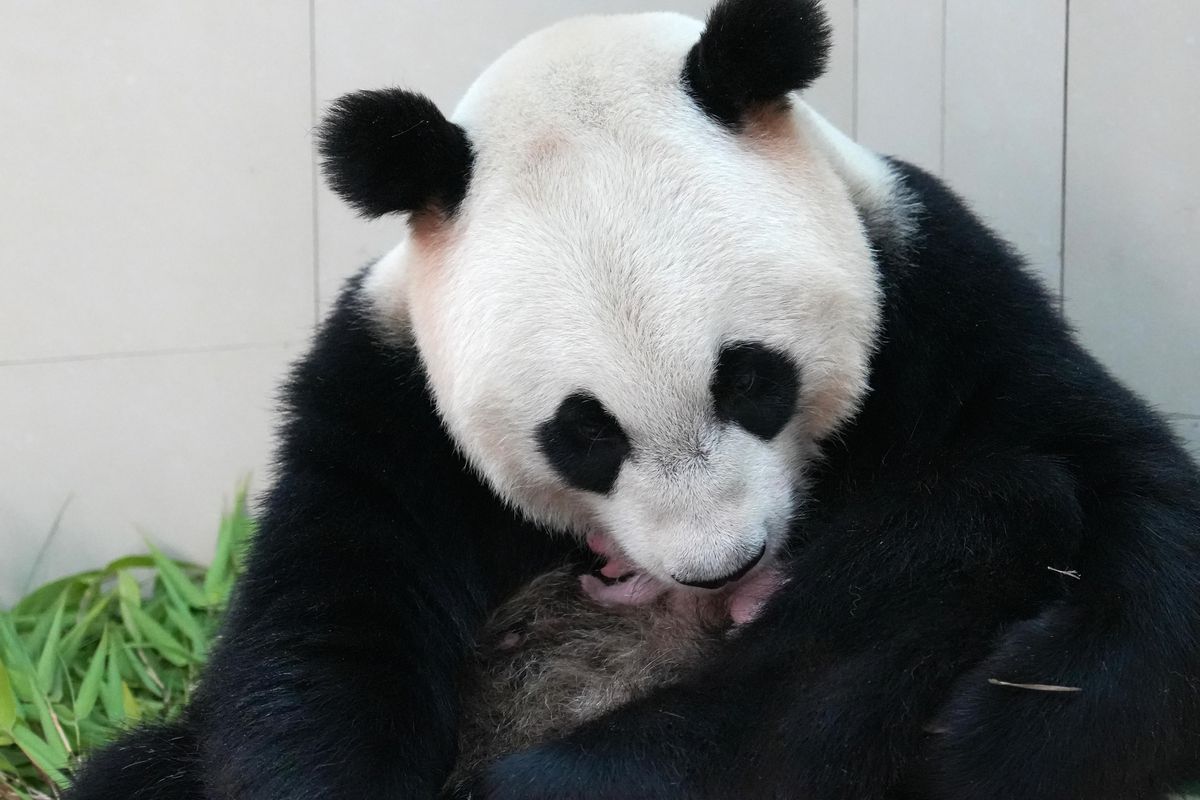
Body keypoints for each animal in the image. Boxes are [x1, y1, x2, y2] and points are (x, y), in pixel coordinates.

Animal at [67, 0, 1200, 798]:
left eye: (755, 380)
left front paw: (995, 724)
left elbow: (1130, 496)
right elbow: (324, 636)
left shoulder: (937, 294)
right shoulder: (383, 398)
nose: (724, 567)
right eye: (584, 435)